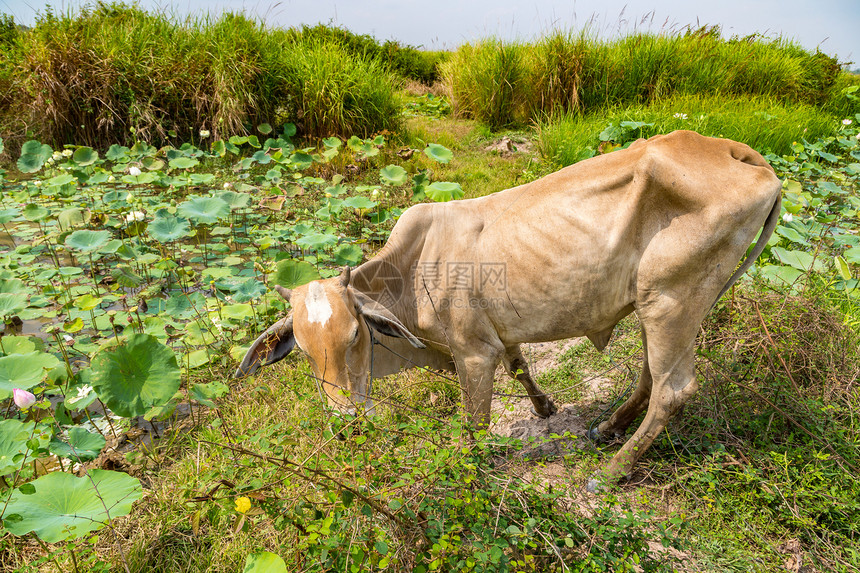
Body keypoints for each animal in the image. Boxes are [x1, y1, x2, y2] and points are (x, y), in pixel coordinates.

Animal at [239, 132, 784, 490]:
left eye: (355, 335)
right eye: (303, 351)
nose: (346, 420)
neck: (411, 274)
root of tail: (735, 152)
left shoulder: (472, 353)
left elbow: (475, 422)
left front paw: (469, 471)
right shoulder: (498, 334)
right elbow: (520, 364)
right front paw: (545, 408)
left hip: (672, 300)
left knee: (673, 390)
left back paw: (610, 474)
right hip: (661, 307)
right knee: (651, 376)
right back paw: (608, 429)